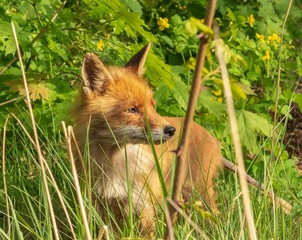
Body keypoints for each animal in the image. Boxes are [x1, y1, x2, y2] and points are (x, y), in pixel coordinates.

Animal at [73, 42, 222, 235]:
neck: (115, 163)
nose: (171, 130)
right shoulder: (101, 205)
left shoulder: (143, 204)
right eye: (132, 109)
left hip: (200, 194)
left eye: (153, 106)